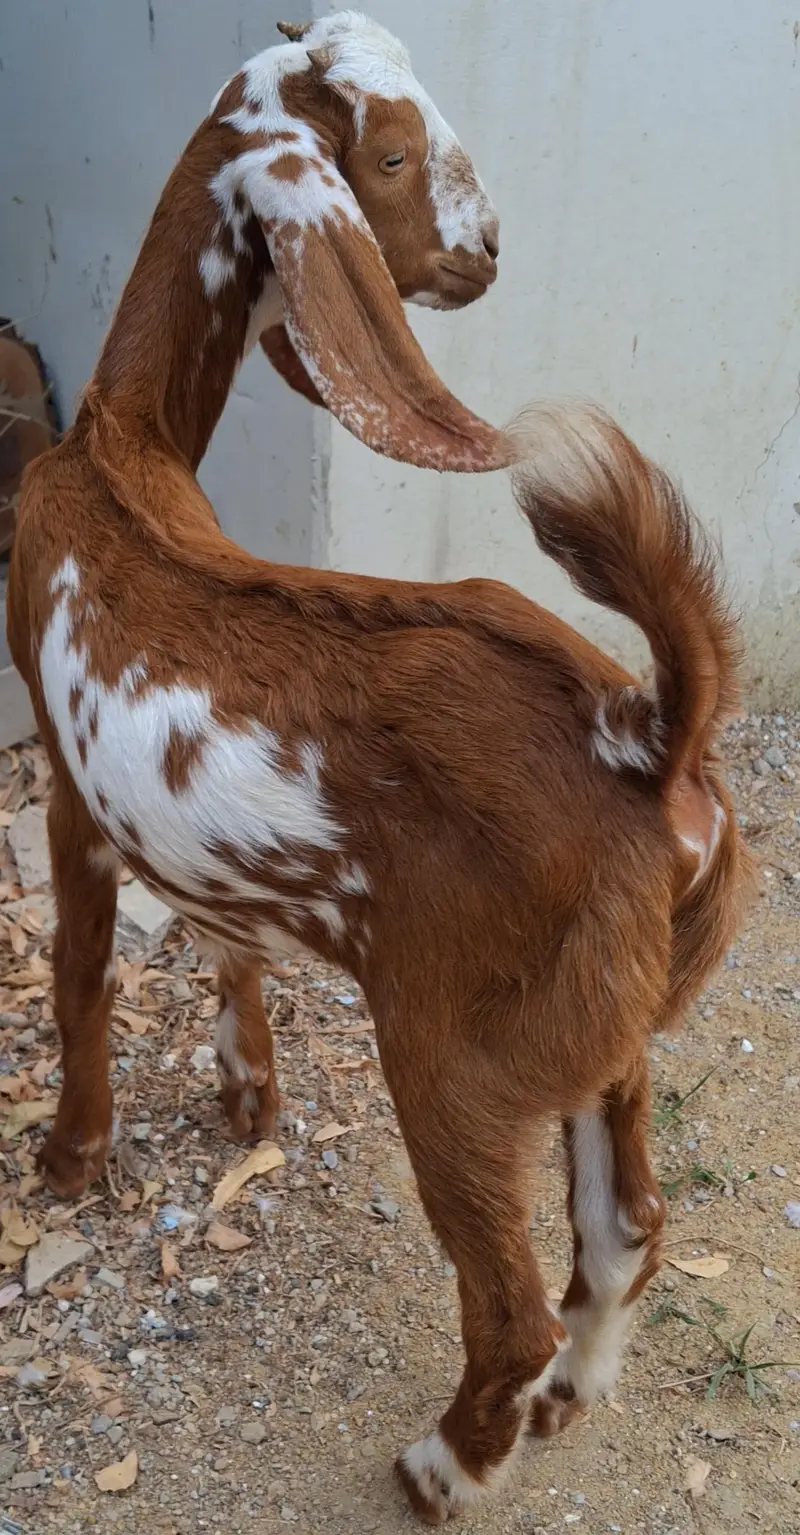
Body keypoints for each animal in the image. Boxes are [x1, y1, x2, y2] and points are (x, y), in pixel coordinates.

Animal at [7, 11, 748, 1524]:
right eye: (394, 155)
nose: (490, 251)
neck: (117, 450)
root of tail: (652, 744)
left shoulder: (67, 778)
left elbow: (82, 971)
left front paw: (69, 1159)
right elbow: (227, 940)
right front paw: (248, 1093)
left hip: (456, 1047)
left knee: (506, 1296)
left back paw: (445, 1461)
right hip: (606, 1025)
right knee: (626, 1221)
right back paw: (568, 1395)